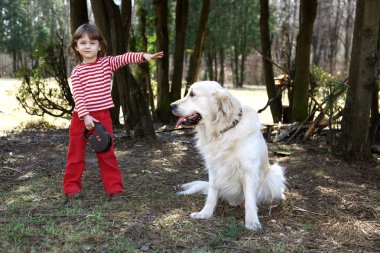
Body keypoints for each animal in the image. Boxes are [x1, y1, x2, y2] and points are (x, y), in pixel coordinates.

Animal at [170, 80, 284, 229]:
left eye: (192, 94)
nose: (171, 106)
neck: (222, 131)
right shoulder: (214, 168)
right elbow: (212, 194)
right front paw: (205, 213)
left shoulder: (249, 170)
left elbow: (250, 200)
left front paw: (252, 221)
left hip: (275, 173)